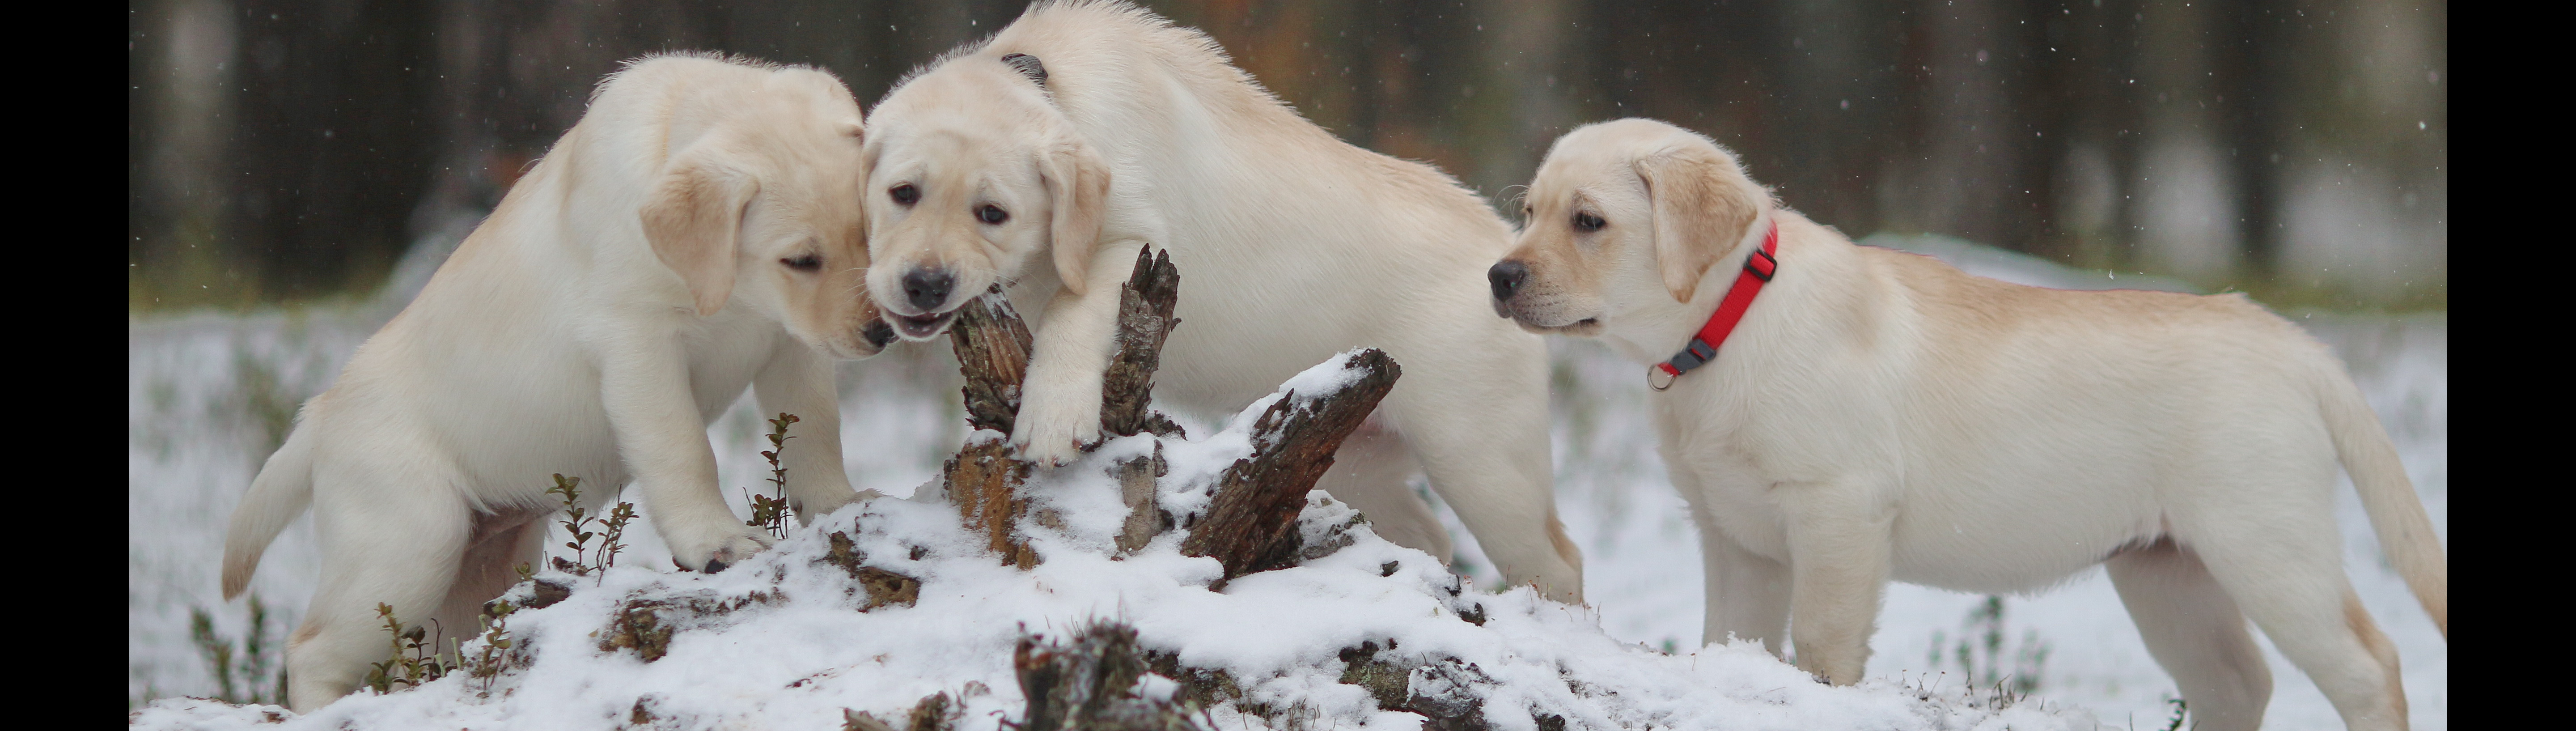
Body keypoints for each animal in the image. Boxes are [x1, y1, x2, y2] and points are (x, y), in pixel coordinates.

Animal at [224, 54, 886, 710]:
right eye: (801, 260)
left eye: (870, 233)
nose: (883, 331)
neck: (730, 293)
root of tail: (318, 416)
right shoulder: (638, 342)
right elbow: (683, 449)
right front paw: (717, 542)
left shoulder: (791, 343)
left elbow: (815, 428)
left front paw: (839, 504)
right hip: (410, 542)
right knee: (312, 649)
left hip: (479, 566)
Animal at [865, 1, 1576, 599]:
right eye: (902, 194)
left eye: (993, 212)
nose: (923, 284)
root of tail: (1506, 249)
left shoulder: (1137, 241)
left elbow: (1073, 312)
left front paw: (1051, 418)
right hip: (1357, 456)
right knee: (1429, 533)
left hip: (1484, 460)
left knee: (1556, 563)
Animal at [1483, 119, 2442, 731]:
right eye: (1527, 212)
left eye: (1588, 221)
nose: (1498, 275)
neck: (1732, 321)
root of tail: (2293, 340)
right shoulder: (1737, 535)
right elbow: (1732, 641)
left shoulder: (1838, 511)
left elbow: (1821, 642)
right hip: (2168, 570)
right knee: (2239, 683)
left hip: (2266, 543)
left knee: (2370, 666)